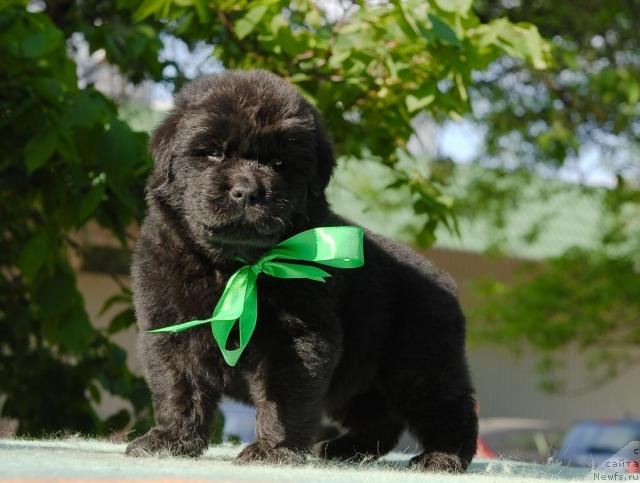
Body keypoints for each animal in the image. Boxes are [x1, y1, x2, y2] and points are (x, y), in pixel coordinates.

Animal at [125, 71, 478, 472]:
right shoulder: (172, 331)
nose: (247, 192)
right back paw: (344, 450)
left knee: (450, 407)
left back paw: (442, 457)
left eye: (279, 162)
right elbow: (179, 389)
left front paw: (272, 451)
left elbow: (284, 396)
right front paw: (170, 441)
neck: (233, 267)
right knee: (381, 419)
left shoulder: (298, 338)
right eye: (213, 152)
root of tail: (444, 279)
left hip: (420, 362)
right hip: (360, 380)